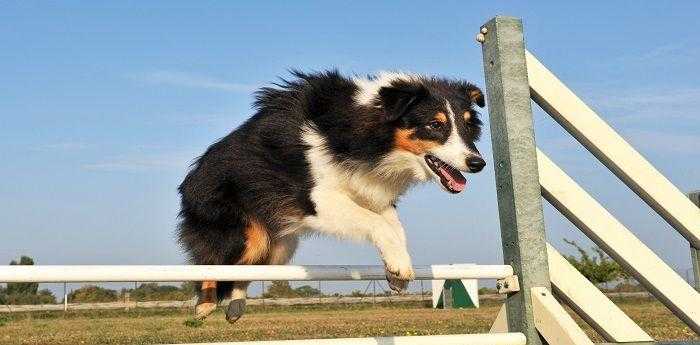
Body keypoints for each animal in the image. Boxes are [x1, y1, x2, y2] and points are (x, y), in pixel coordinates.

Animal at [178, 70, 486, 322]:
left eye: (468, 127)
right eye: (435, 125)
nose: (478, 163)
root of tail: (188, 180)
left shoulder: (372, 191)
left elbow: (395, 228)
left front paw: (397, 269)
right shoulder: (319, 198)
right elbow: (377, 223)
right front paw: (399, 266)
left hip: (280, 247)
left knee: (244, 271)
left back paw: (236, 306)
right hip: (243, 232)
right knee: (213, 262)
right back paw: (204, 305)